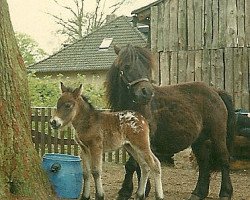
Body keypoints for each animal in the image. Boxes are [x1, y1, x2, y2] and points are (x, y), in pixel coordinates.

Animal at [106, 44, 236, 200]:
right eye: (126, 66)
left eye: (147, 66)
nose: (147, 92)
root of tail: (216, 92)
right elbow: (138, 164)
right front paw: (143, 189)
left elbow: (133, 165)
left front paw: (126, 192)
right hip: (200, 140)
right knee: (204, 163)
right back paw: (198, 193)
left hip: (218, 135)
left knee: (223, 159)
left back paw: (225, 193)